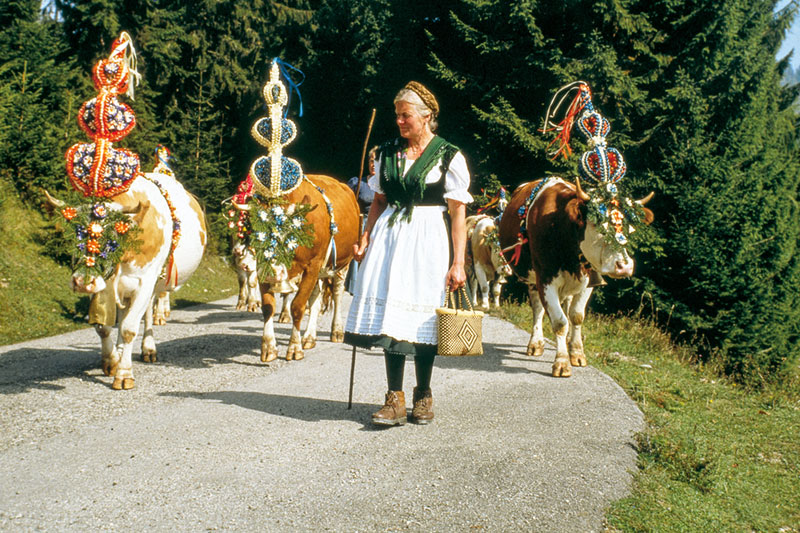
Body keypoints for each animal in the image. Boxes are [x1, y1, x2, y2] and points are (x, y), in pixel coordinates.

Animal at [496, 177, 652, 376]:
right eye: (598, 225)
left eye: (630, 229)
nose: (624, 266)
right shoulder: (545, 279)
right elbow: (560, 321)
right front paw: (562, 362)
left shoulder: (589, 280)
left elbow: (576, 316)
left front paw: (577, 353)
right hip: (532, 277)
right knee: (538, 308)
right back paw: (536, 343)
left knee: (568, 308)